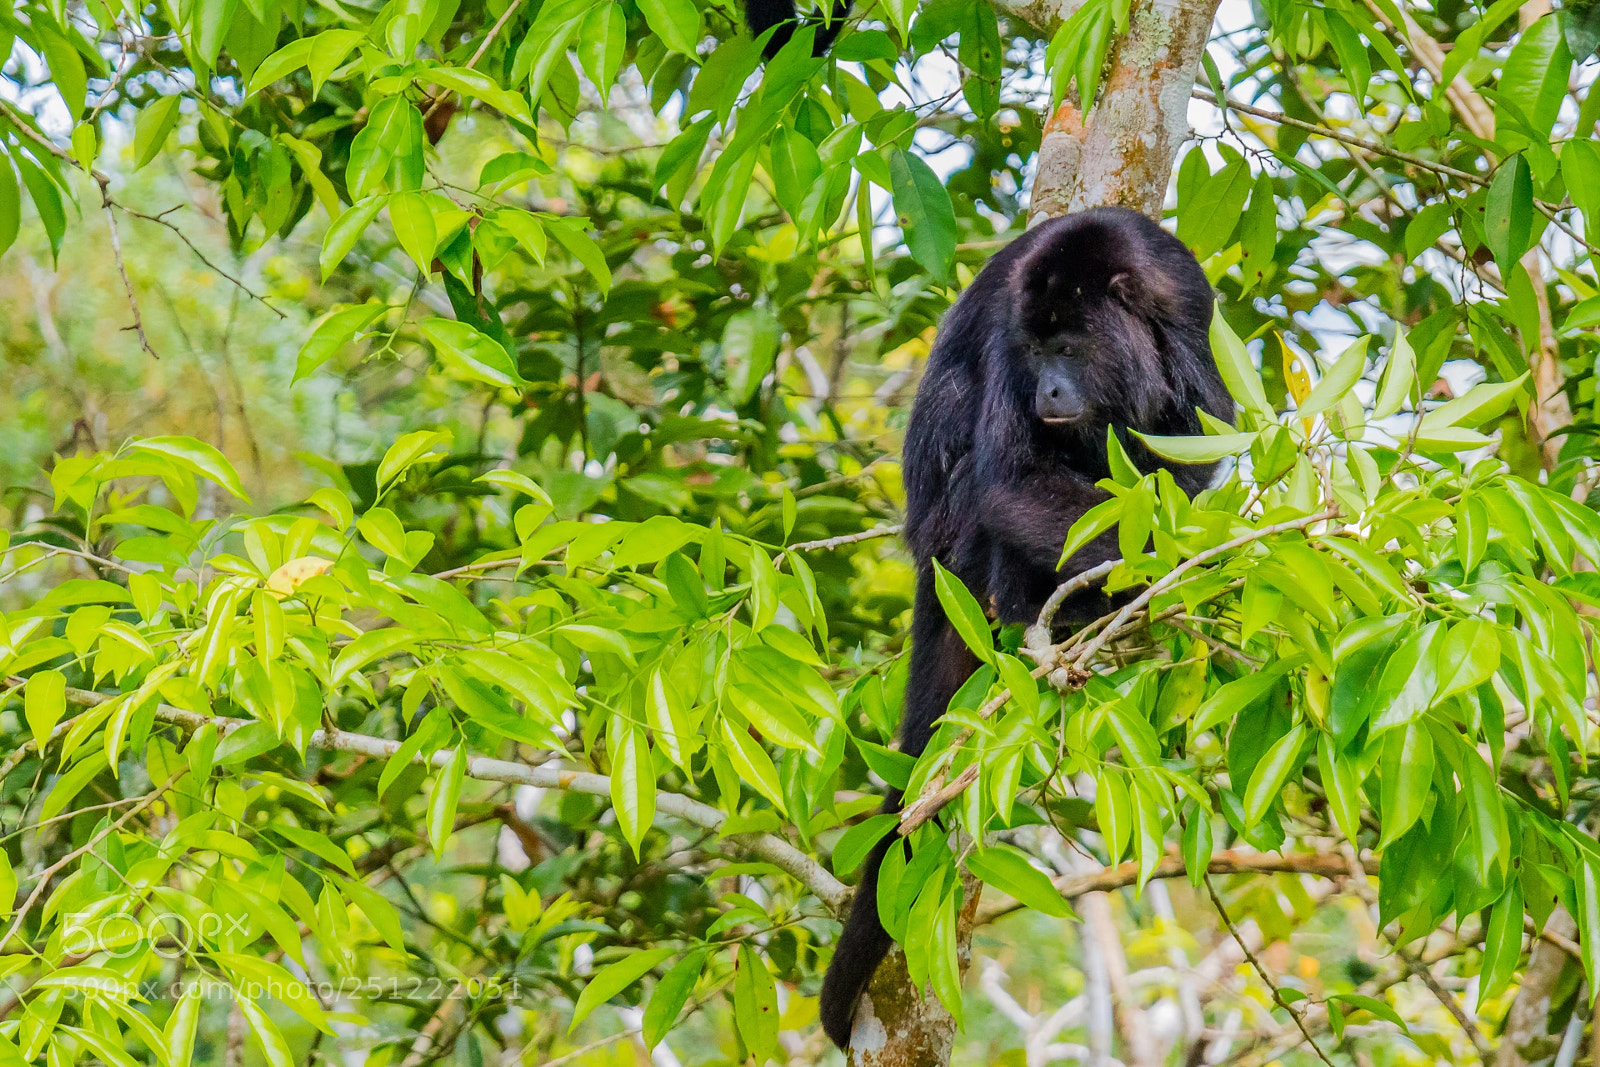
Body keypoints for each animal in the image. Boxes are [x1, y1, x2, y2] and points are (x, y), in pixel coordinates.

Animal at [817, 206, 1232, 1050]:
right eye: (1038, 351)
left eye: (1067, 347)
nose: (1048, 386)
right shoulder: (1009, 343)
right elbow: (1008, 478)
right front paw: (1166, 566)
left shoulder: (1188, 308)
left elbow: (1196, 444)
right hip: (955, 546)